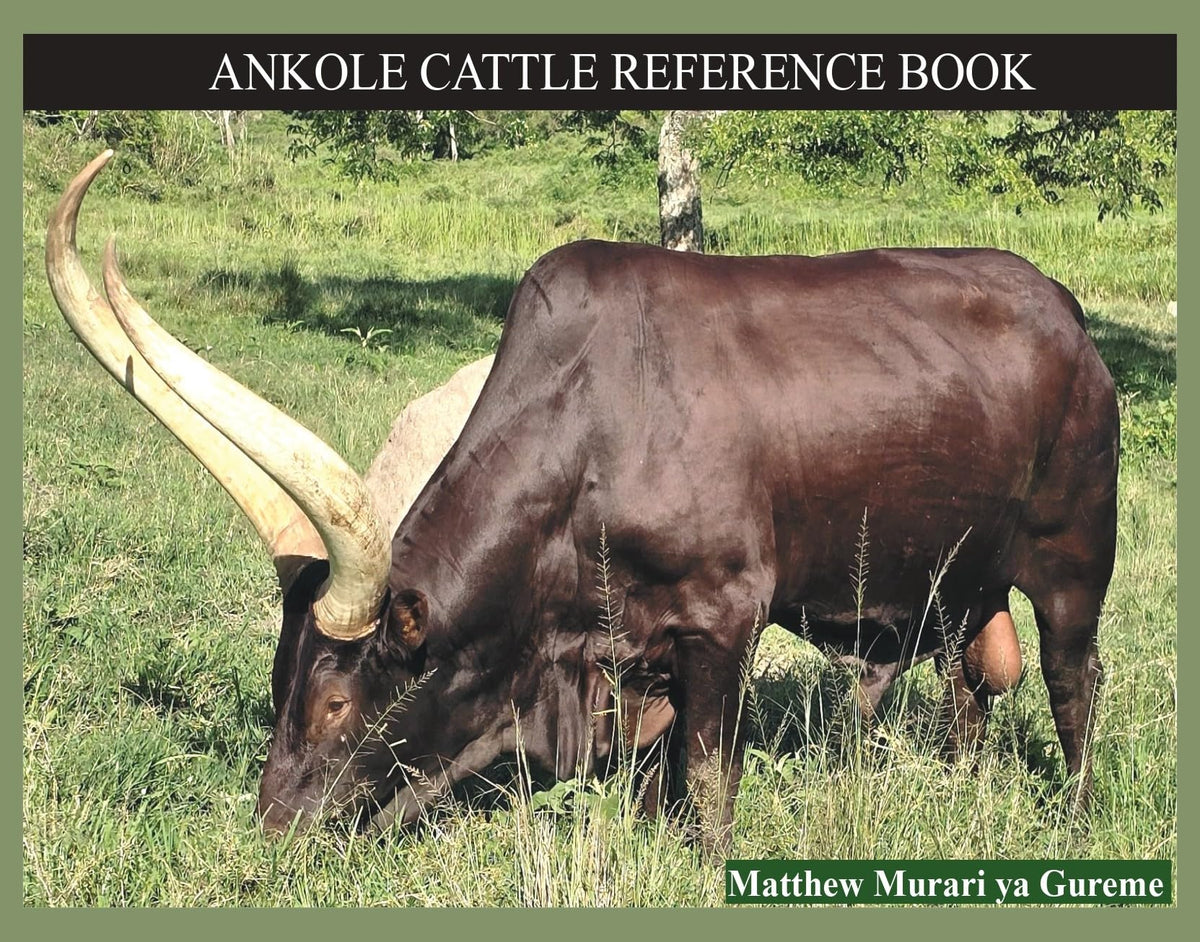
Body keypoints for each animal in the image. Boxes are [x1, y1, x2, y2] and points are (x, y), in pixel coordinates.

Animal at [46, 152, 1118, 850]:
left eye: (339, 701)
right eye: (280, 688)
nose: (273, 831)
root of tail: (1062, 307)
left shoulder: (722, 618)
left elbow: (707, 772)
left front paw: (709, 863)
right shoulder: (629, 652)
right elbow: (653, 773)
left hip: (1074, 559)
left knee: (1072, 683)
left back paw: (1072, 816)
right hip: (958, 575)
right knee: (969, 683)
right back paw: (962, 783)